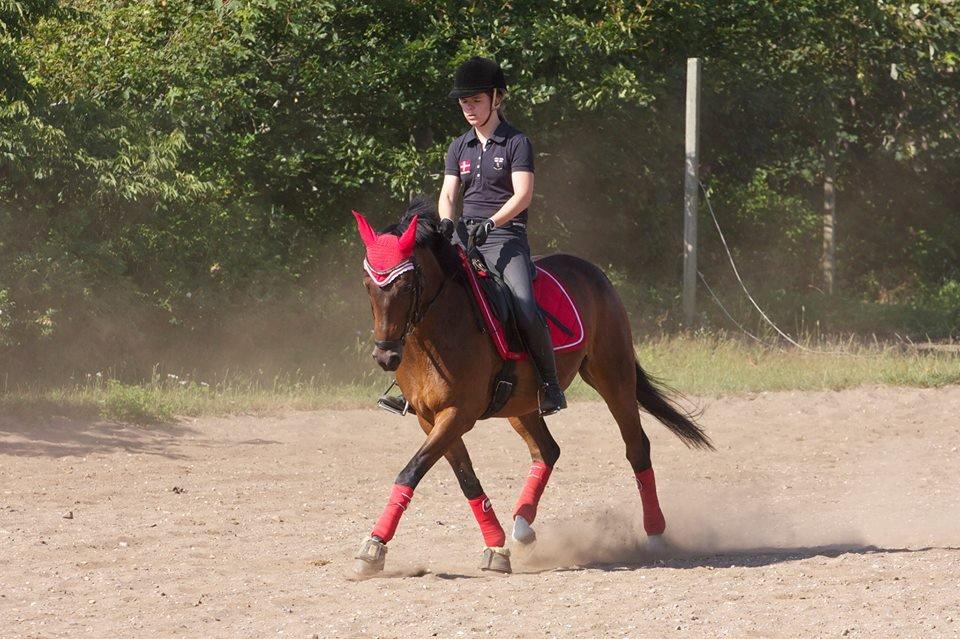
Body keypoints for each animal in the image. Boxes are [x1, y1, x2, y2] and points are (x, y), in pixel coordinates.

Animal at [351, 198, 712, 576]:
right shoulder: (430, 418)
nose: (386, 355)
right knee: (547, 450)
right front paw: (495, 546)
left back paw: (655, 534)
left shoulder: (458, 414)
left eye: (406, 284)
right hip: (521, 403)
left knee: (636, 447)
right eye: (368, 284)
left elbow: (411, 470)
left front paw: (373, 547)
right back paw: (523, 527)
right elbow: (465, 478)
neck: (437, 331)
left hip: (613, 376)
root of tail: (593, 272)